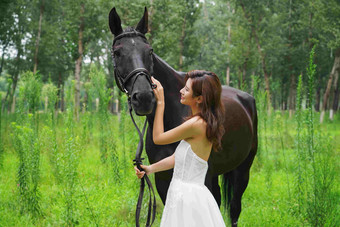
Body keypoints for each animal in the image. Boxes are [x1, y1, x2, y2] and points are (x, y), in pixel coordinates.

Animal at [109, 7, 258, 226]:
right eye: (118, 52)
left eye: (150, 51)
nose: (144, 97)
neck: (172, 115)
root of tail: (246, 98)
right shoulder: (163, 179)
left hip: (242, 169)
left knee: (234, 209)